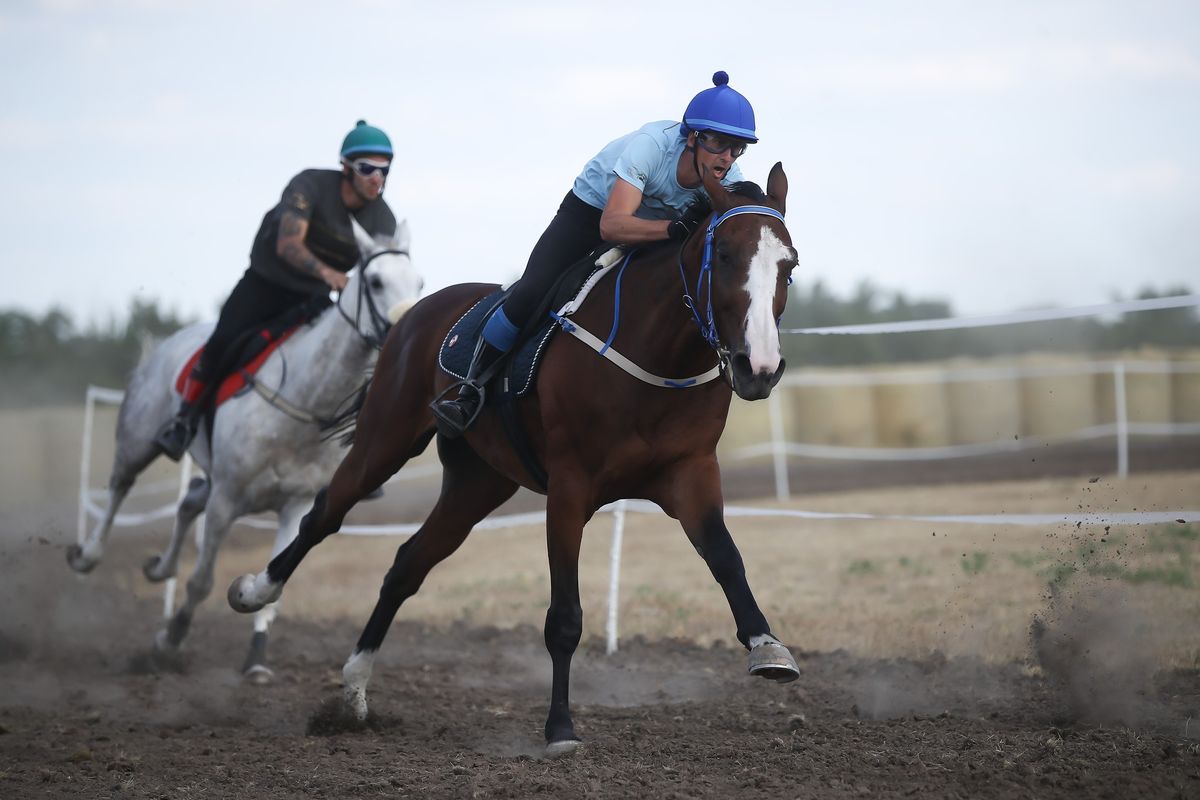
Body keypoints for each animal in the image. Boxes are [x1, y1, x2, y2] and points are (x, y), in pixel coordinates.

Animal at [66, 219, 422, 681]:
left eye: (419, 282)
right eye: (376, 281)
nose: (408, 329)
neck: (304, 399)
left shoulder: (294, 504)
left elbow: (274, 589)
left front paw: (255, 659)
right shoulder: (227, 499)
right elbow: (201, 581)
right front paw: (170, 641)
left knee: (187, 501)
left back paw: (160, 566)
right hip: (139, 441)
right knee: (120, 487)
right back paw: (87, 555)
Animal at [230, 164, 801, 758]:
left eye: (789, 265)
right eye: (726, 257)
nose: (758, 367)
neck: (658, 354)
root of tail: (412, 315)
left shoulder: (691, 474)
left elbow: (727, 559)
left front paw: (768, 647)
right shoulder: (570, 489)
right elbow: (564, 617)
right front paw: (561, 729)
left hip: (477, 482)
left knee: (407, 564)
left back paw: (355, 693)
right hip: (383, 440)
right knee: (324, 514)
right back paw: (254, 591)